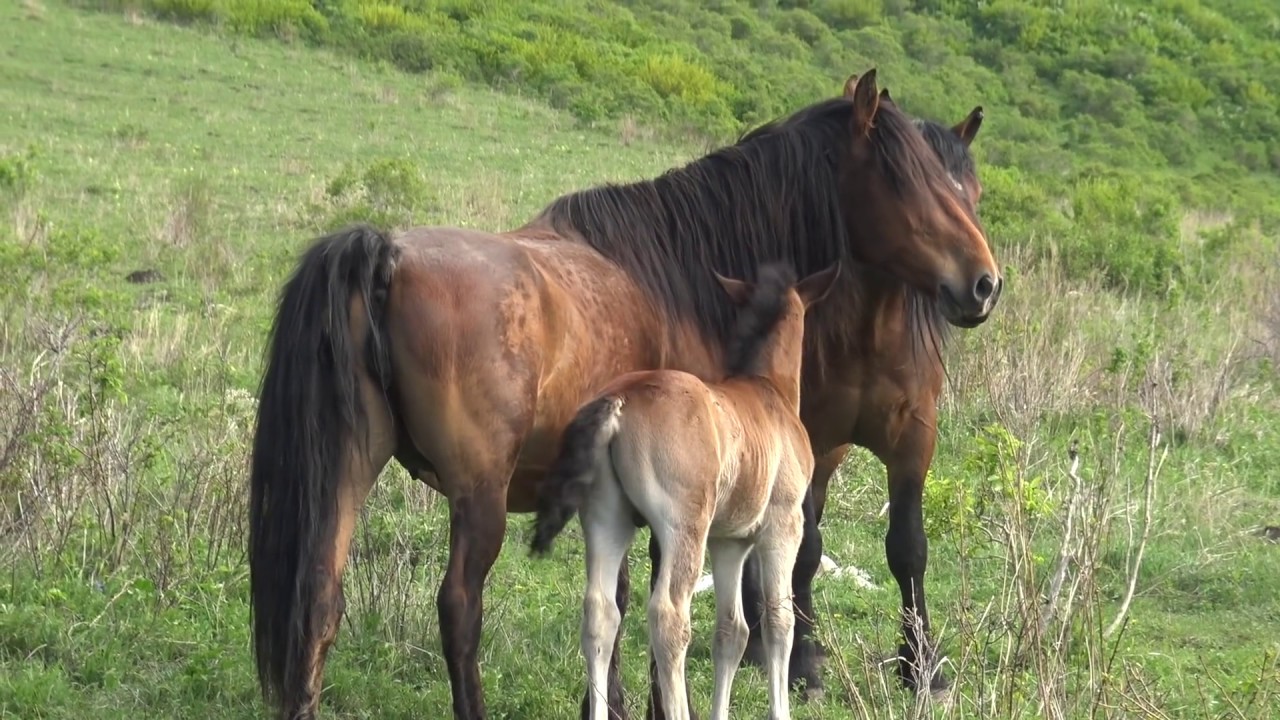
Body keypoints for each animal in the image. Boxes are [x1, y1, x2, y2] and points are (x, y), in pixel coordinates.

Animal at [527, 260, 839, 717]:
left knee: (600, 614)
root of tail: (620, 400)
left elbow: (732, 631)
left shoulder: (730, 542)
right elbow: (778, 621)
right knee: (669, 617)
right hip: (683, 529)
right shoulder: (782, 527)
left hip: (606, 518)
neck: (769, 392)